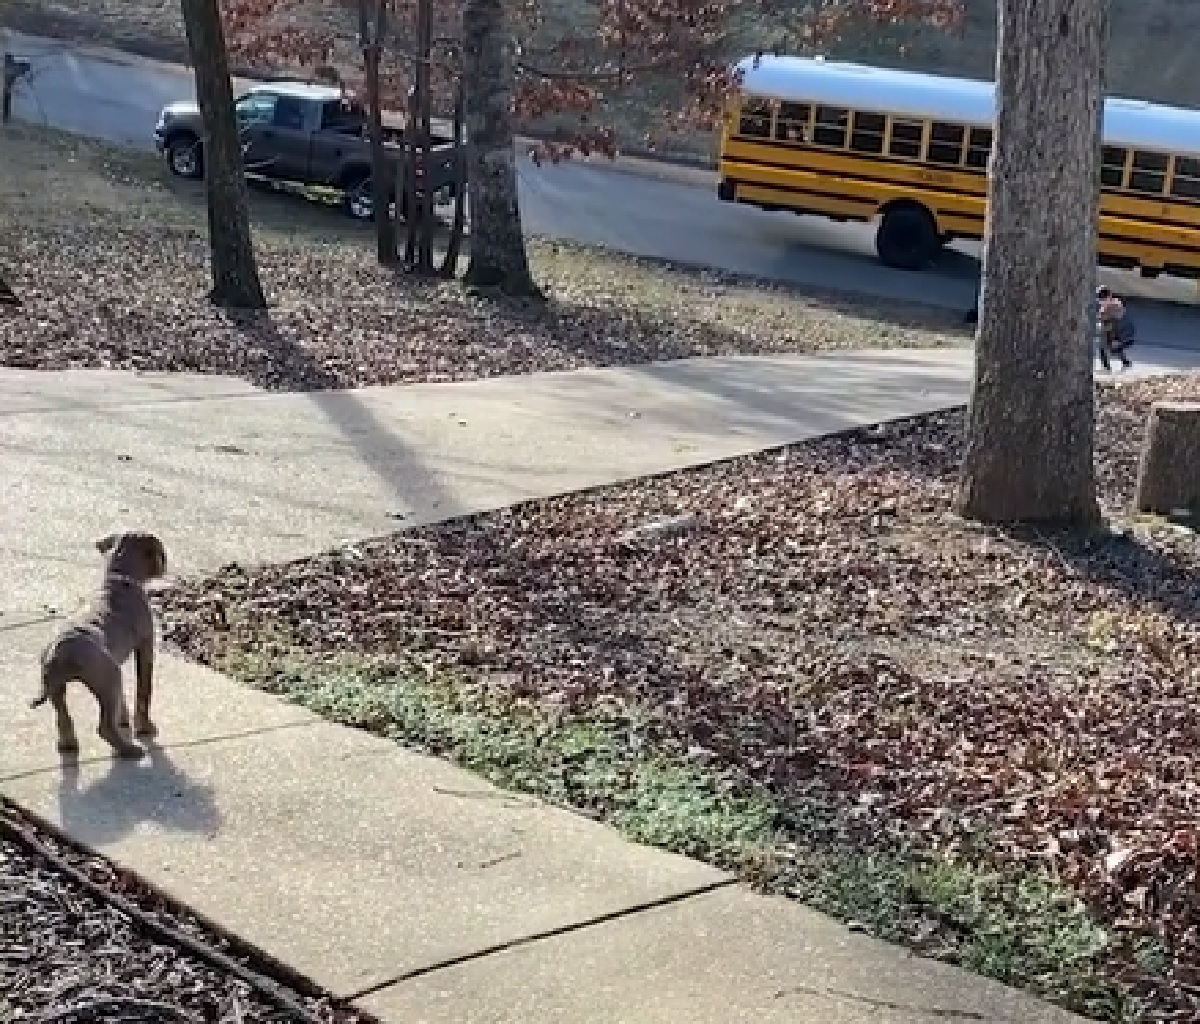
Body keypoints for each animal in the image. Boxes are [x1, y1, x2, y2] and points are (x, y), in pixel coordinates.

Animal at [29, 535, 169, 758]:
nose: (165, 565)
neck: (118, 576)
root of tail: (62, 650)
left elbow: (124, 698)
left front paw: (124, 720)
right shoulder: (146, 645)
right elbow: (144, 690)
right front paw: (144, 727)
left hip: (56, 685)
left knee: (62, 716)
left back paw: (68, 744)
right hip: (108, 679)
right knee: (103, 727)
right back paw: (128, 750)